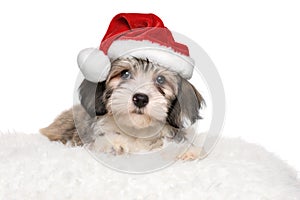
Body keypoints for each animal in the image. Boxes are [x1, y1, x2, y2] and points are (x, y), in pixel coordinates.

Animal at [39, 57, 204, 159]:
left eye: (160, 79)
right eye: (125, 73)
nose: (140, 99)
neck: (136, 131)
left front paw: (188, 151)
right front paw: (115, 144)